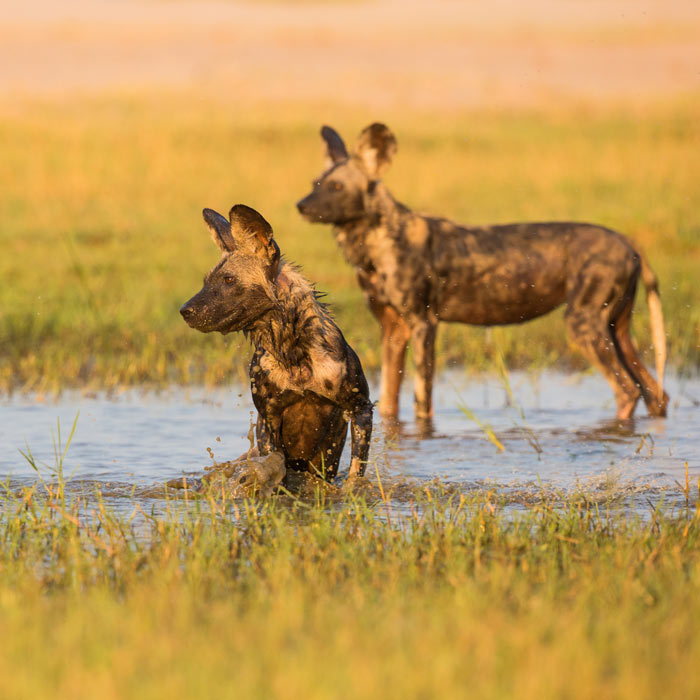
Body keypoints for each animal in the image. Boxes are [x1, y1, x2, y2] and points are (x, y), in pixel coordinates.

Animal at [183, 202, 374, 482]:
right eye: (206, 281)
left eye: (229, 280)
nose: (184, 311)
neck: (294, 353)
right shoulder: (269, 420)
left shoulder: (361, 409)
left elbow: (355, 474)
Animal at [296, 121, 668, 422]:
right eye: (315, 183)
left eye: (337, 188)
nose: (301, 205)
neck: (376, 245)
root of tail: (629, 242)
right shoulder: (393, 330)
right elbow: (388, 403)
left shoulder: (423, 324)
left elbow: (422, 403)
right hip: (616, 330)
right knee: (654, 393)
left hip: (583, 325)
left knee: (627, 390)